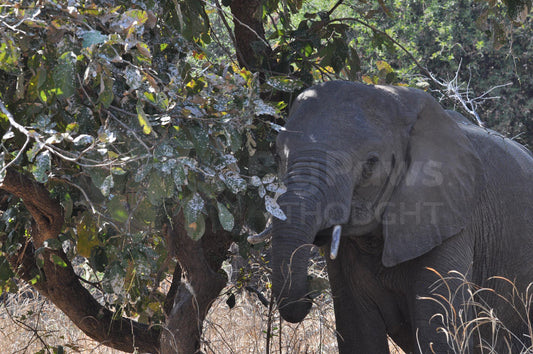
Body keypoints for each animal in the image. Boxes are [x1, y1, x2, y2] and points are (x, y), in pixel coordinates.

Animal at [270, 81, 532, 354]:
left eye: (370, 164)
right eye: (276, 155)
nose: (311, 287)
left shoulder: (451, 219)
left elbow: (437, 333)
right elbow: (358, 335)